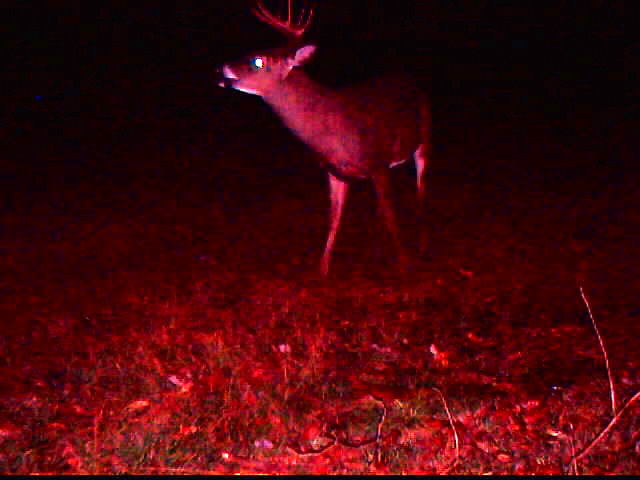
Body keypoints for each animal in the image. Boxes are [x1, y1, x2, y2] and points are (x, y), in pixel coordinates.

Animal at [218, 0, 431, 276]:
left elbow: (391, 213)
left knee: (421, 189)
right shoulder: (334, 170)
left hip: (424, 138)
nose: (223, 67)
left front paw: (404, 264)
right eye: (254, 50)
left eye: (258, 61)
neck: (332, 132)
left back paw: (422, 246)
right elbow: (334, 218)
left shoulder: (377, 162)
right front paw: (322, 269)